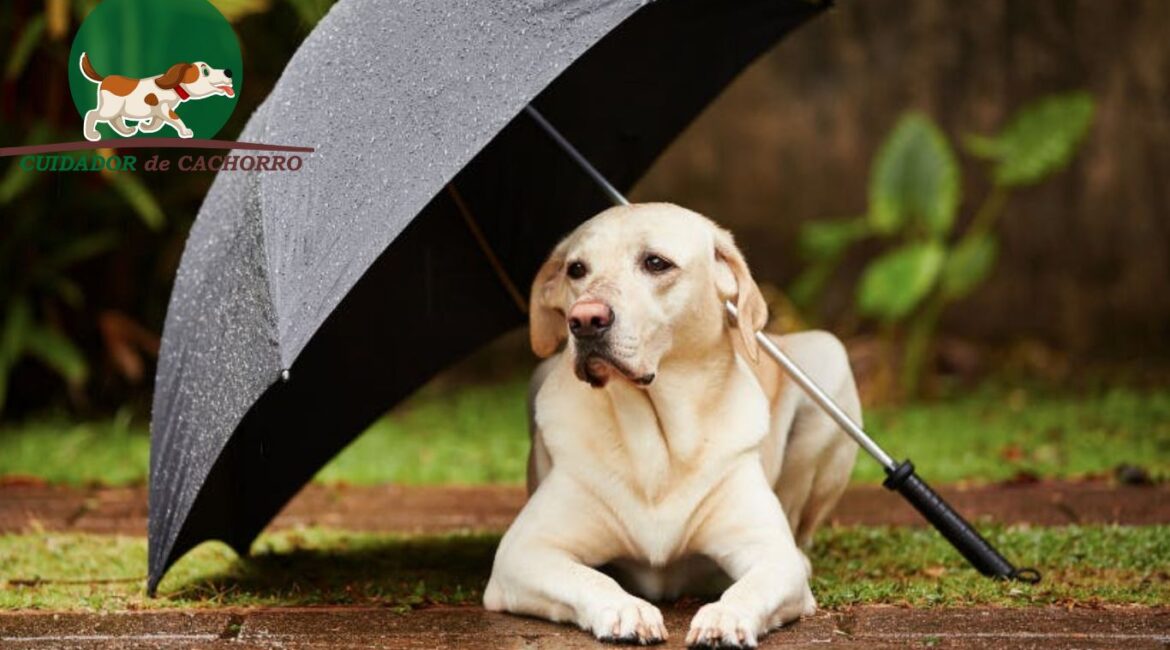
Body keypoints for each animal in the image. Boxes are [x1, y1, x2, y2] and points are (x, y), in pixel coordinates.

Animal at [484, 202, 861, 645]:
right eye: (576, 269)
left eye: (655, 262)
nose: (584, 319)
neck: (658, 441)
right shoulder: (523, 552)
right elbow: (588, 577)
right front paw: (624, 608)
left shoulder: (770, 552)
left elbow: (752, 585)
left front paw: (725, 616)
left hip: (829, 358)